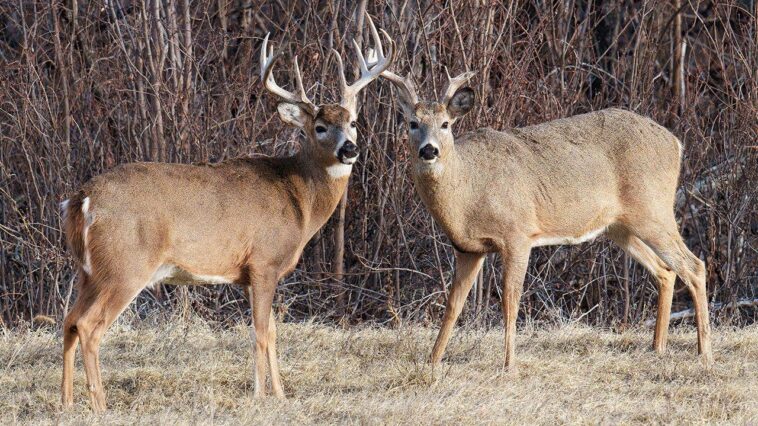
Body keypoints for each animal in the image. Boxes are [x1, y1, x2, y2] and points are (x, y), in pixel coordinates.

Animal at [59, 16, 394, 412]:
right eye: (320, 127)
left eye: (353, 121)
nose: (350, 149)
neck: (299, 199)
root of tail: (82, 199)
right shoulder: (264, 262)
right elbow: (261, 333)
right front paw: (261, 395)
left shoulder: (251, 274)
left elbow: (272, 331)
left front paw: (280, 394)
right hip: (125, 265)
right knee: (89, 326)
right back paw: (100, 404)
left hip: (88, 271)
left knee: (69, 320)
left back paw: (65, 402)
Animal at [379, 65, 713, 370]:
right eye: (412, 123)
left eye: (446, 124)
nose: (429, 150)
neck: (469, 193)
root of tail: (676, 143)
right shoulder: (468, 249)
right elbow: (453, 304)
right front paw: (432, 361)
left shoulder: (518, 234)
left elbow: (510, 301)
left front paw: (509, 364)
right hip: (619, 226)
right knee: (665, 271)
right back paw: (657, 347)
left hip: (653, 209)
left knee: (694, 266)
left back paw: (703, 352)